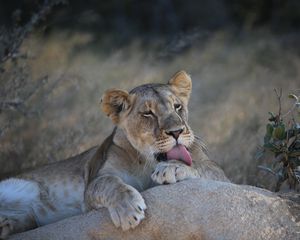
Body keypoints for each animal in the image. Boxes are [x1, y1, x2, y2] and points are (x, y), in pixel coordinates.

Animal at [0, 70, 227, 238]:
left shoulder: (220, 175)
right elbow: (108, 183)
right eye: (148, 113)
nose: (177, 131)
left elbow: (200, 166)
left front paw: (172, 168)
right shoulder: (92, 185)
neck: (147, 161)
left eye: (178, 106)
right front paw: (127, 210)